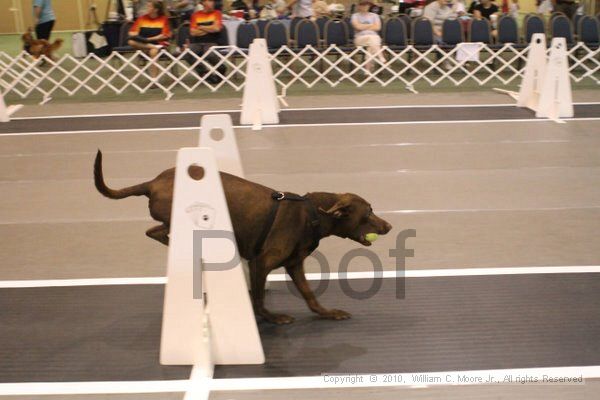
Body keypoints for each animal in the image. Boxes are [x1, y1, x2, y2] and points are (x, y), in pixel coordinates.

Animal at [94, 152, 394, 324]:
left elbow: (309, 295)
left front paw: (328, 313)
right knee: (159, 232)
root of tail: (152, 183)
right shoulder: (262, 263)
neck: (312, 214)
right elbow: (259, 298)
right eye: (368, 212)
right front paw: (271, 317)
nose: (389, 226)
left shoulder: (294, 265)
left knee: (154, 231)